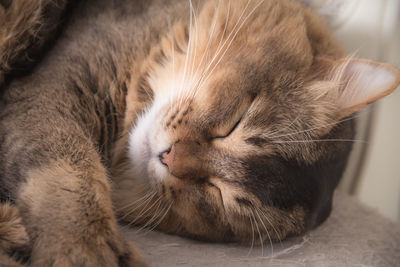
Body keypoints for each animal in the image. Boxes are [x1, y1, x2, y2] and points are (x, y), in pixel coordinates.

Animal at [0, 0, 400, 266]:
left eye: (224, 198)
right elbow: (70, 175)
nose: (169, 156)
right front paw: (85, 248)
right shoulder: (48, 92)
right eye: (235, 123)